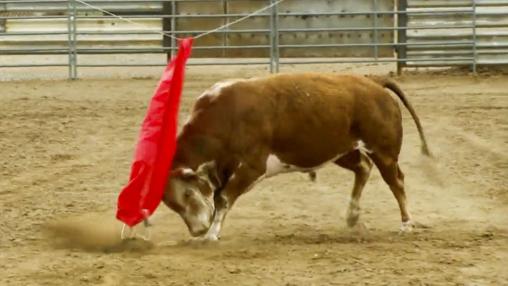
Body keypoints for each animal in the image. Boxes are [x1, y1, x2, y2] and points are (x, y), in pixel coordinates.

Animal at [162, 72, 428, 240]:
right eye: (171, 204)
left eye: (187, 193)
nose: (197, 230)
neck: (225, 118)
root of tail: (373, 82)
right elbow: (219, 197)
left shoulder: (251, 167)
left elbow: (223, 198)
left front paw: (210, 235)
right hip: (340, 149)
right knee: (363, 167)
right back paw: (352, 215)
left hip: (384, 152)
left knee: (396, 181)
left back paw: (407, 224)